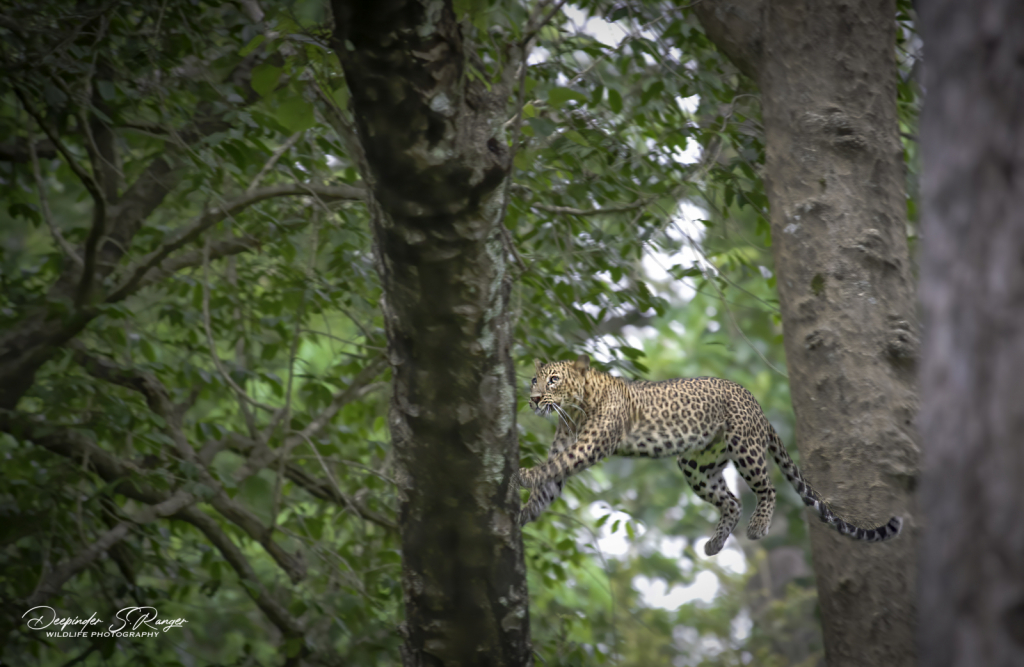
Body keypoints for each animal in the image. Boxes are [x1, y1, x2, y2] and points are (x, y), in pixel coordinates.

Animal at [516, 354, 901, 557]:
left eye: (553, 380)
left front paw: (522, 475)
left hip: (745, 447)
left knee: (767, 488)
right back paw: (714, 545)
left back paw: (758, 527)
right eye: (534, 380)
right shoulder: (569, 447)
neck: (573, 411)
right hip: (695, 464)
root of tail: (755, 402)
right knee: (731, 501)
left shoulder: (590, 445)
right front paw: (522, 514)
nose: (533, 400)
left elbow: (552, 466)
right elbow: (549, 482)